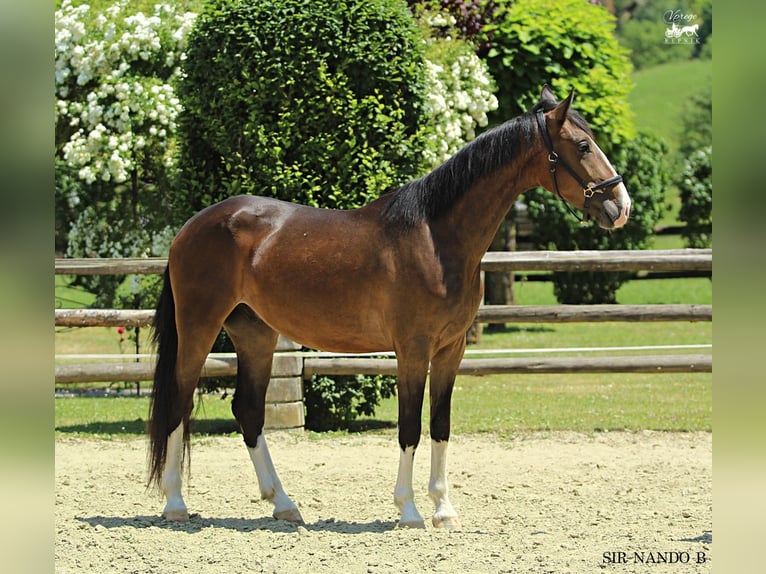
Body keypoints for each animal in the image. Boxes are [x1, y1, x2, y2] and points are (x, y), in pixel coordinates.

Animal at [148, 85, 631, 529]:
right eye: (582, 145)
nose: (620, 206)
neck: (436, 238)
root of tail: (189, 228)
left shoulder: (451, 349)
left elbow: (440, 425)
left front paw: (444, 510)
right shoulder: (413, 349)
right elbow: (409, 426)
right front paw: (410, 510)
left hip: (255, 333)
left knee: (248, 412)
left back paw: (284, 504)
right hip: (200, 326)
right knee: (180, 400)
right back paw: (175, 503)